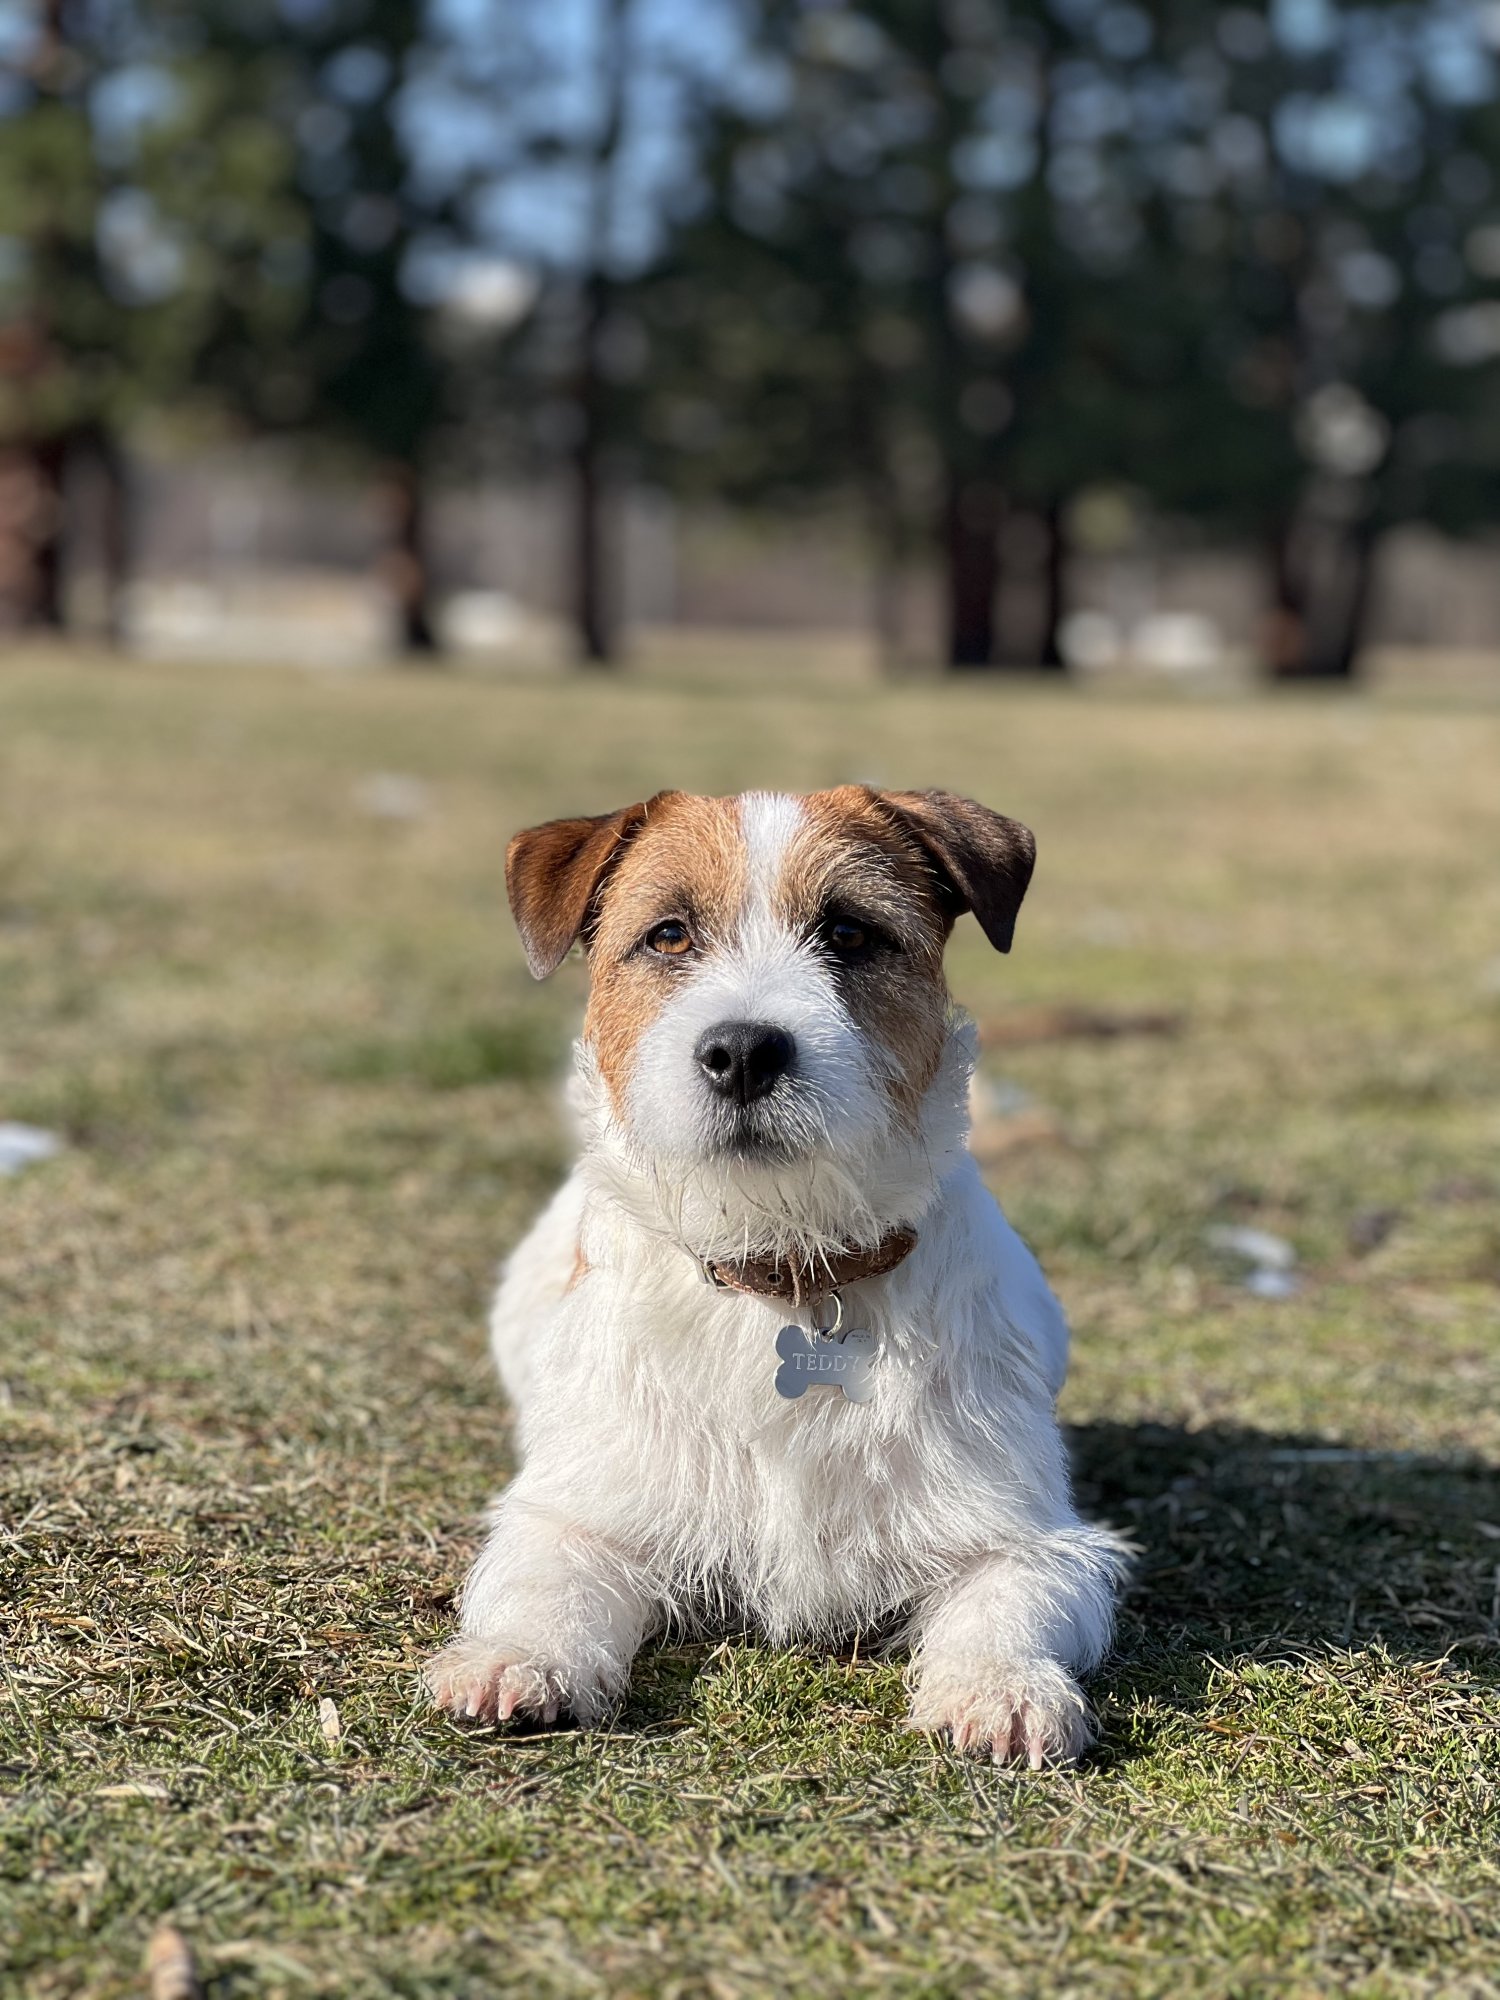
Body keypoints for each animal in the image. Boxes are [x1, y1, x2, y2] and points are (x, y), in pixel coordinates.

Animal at [425, 786, 1125, 1765]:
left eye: (851, 932)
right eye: (669, 935)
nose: (745, 1051)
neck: (785, 1263)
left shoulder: (1020, 1536)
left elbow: (1009, 1601)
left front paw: (1002, 1687)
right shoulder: (579, 1511)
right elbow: (545, 1580)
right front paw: (516, 1656)